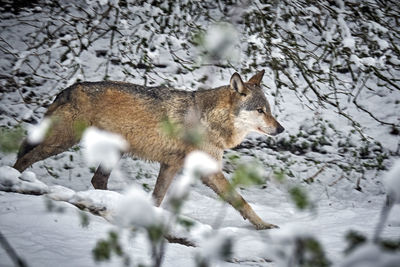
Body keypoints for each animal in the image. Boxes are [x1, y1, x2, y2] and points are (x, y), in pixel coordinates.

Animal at [13, 70, 284, 230]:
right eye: (261, 111)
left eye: (269, 111)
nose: (281, 129)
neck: (210, 121)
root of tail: (68, 89)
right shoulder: (199, 169)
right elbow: (241, 200)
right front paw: (264, 226)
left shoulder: (173, 166)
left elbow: (158, 197)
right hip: (62, 142)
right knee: (25, 158)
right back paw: (16, 180)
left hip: (112, 151)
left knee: (96, 179)